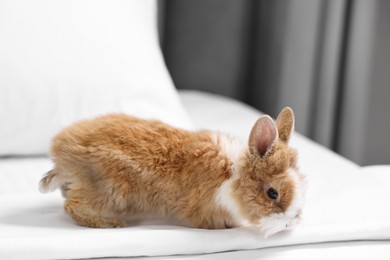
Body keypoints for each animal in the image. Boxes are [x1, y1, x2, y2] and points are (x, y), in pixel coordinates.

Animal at [41, 106, 306, 237]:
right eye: (273, 193)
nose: (292, 223)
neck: (233, 176)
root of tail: (62, 157)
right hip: (109, 192)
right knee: (72, 206)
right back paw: (111, 224)